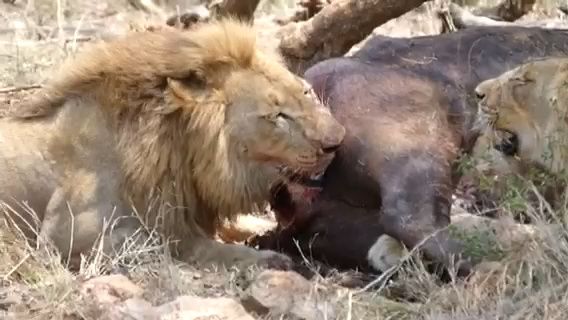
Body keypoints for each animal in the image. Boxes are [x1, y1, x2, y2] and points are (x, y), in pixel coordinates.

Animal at [0, 18, 344, 270]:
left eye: (305, 92)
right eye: (277, 116)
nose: (337, 142)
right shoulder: (66, 237)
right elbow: (181, 244)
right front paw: (268, 258)